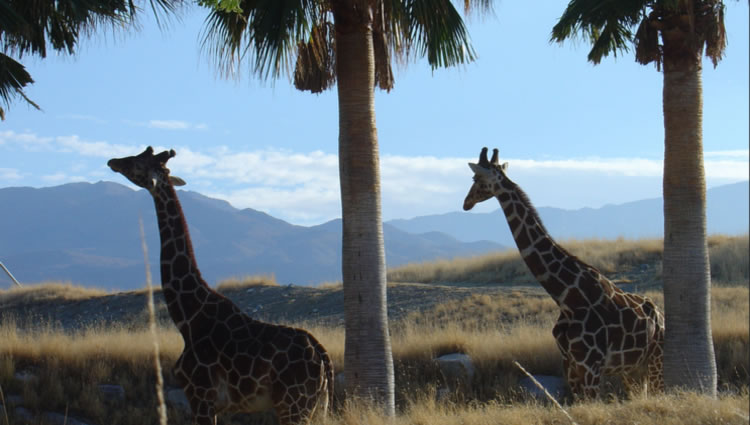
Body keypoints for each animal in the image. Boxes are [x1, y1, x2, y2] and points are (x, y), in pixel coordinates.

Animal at [108, 147, 334, 422]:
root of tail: (322, 354)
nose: (112, 161)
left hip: (293, 405)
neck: (188, 318)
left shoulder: (200, 396)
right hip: (318, 405)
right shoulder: (212, 404)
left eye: (139, 163)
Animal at [464, 147, 668, 398]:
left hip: (657, 359)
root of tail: (661, 317)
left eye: (476, 179)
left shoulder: (591, 366)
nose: (466, 203)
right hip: (633, 369)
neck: (566, 295)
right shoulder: (570, 364)